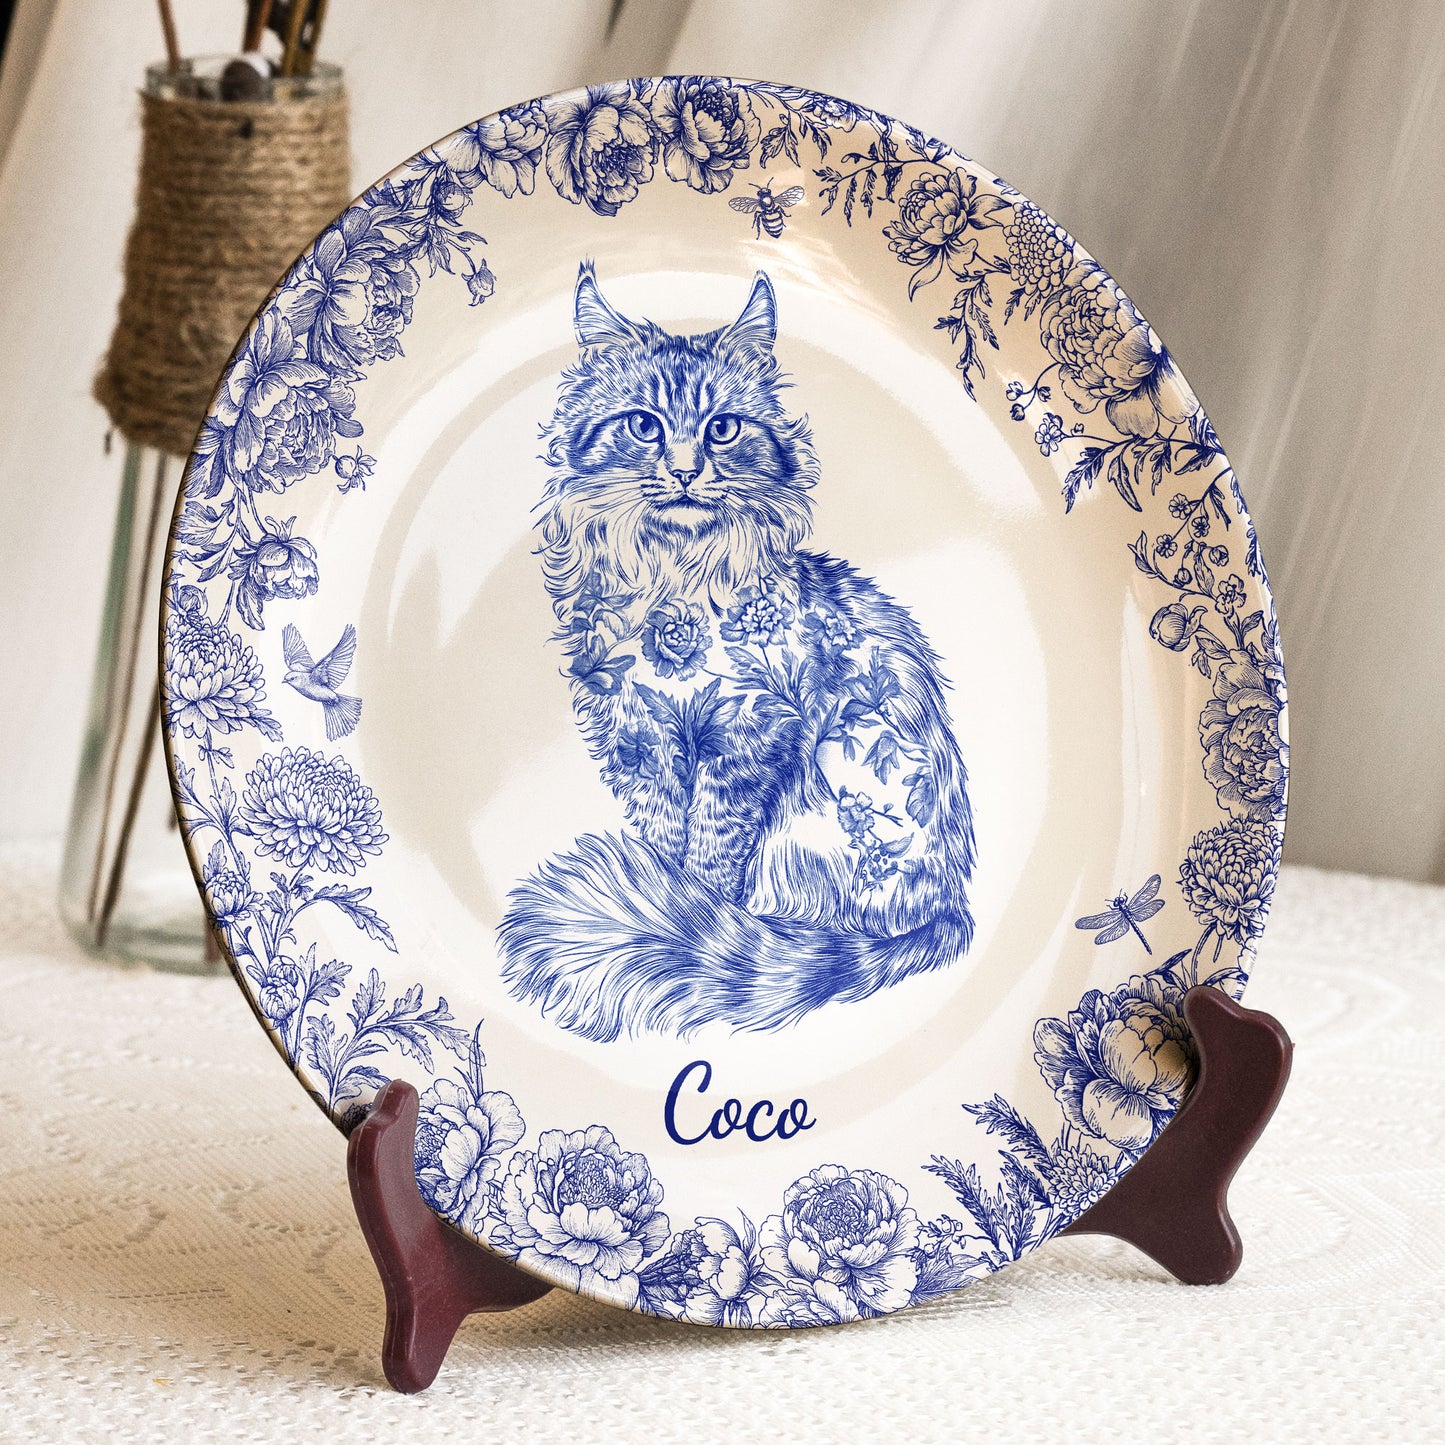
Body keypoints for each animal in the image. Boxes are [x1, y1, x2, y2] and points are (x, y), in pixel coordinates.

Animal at [497, 262, 976, 1041]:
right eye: (643, 425)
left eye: (722, 429)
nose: (688, 471)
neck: (672, 585)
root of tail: (948, 910)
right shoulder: (637, 735)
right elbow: (666, 836)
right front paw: (667, 892)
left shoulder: (750, 732)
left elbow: (711, 853)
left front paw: (691, 912)